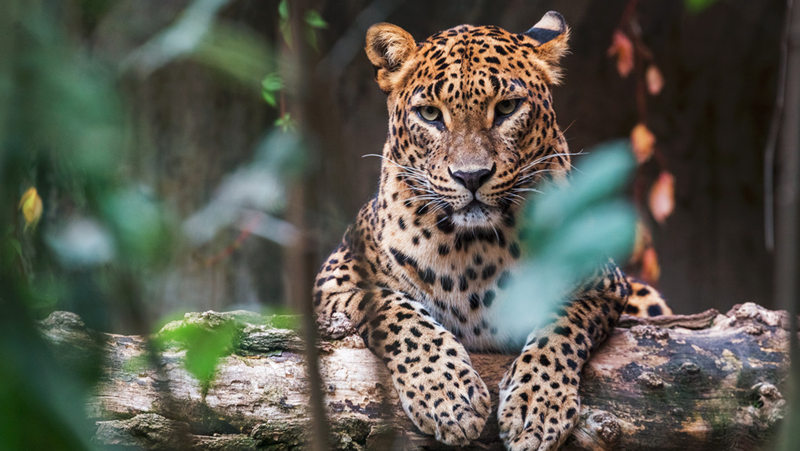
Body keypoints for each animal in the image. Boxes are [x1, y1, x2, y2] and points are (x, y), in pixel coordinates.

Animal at [312, 11, 668, 451]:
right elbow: (399, 315)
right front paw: (448, 397)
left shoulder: (601, 281)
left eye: (507, 108)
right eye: (430, 114)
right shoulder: (336, 279)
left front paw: (537, 408)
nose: (471, 176)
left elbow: (560, 325)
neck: (474, 248)